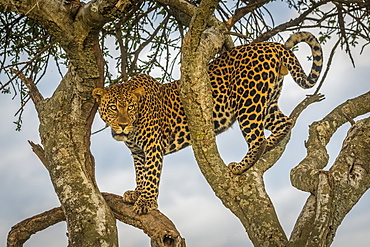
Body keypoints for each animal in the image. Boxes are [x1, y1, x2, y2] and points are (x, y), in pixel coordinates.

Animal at [92, 31, 320, 214]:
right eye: (113, 107)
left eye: (131, 107)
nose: (123, 125)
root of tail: (272, 45)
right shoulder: (138, 152)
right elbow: (140, 173)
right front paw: (137, 193)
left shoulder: (153, 147)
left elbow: (151, 174)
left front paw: (146, 201)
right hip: (268, 102)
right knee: (285, 122)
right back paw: (269, 146)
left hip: (248, 102)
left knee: (257, 139)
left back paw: (240, 166)